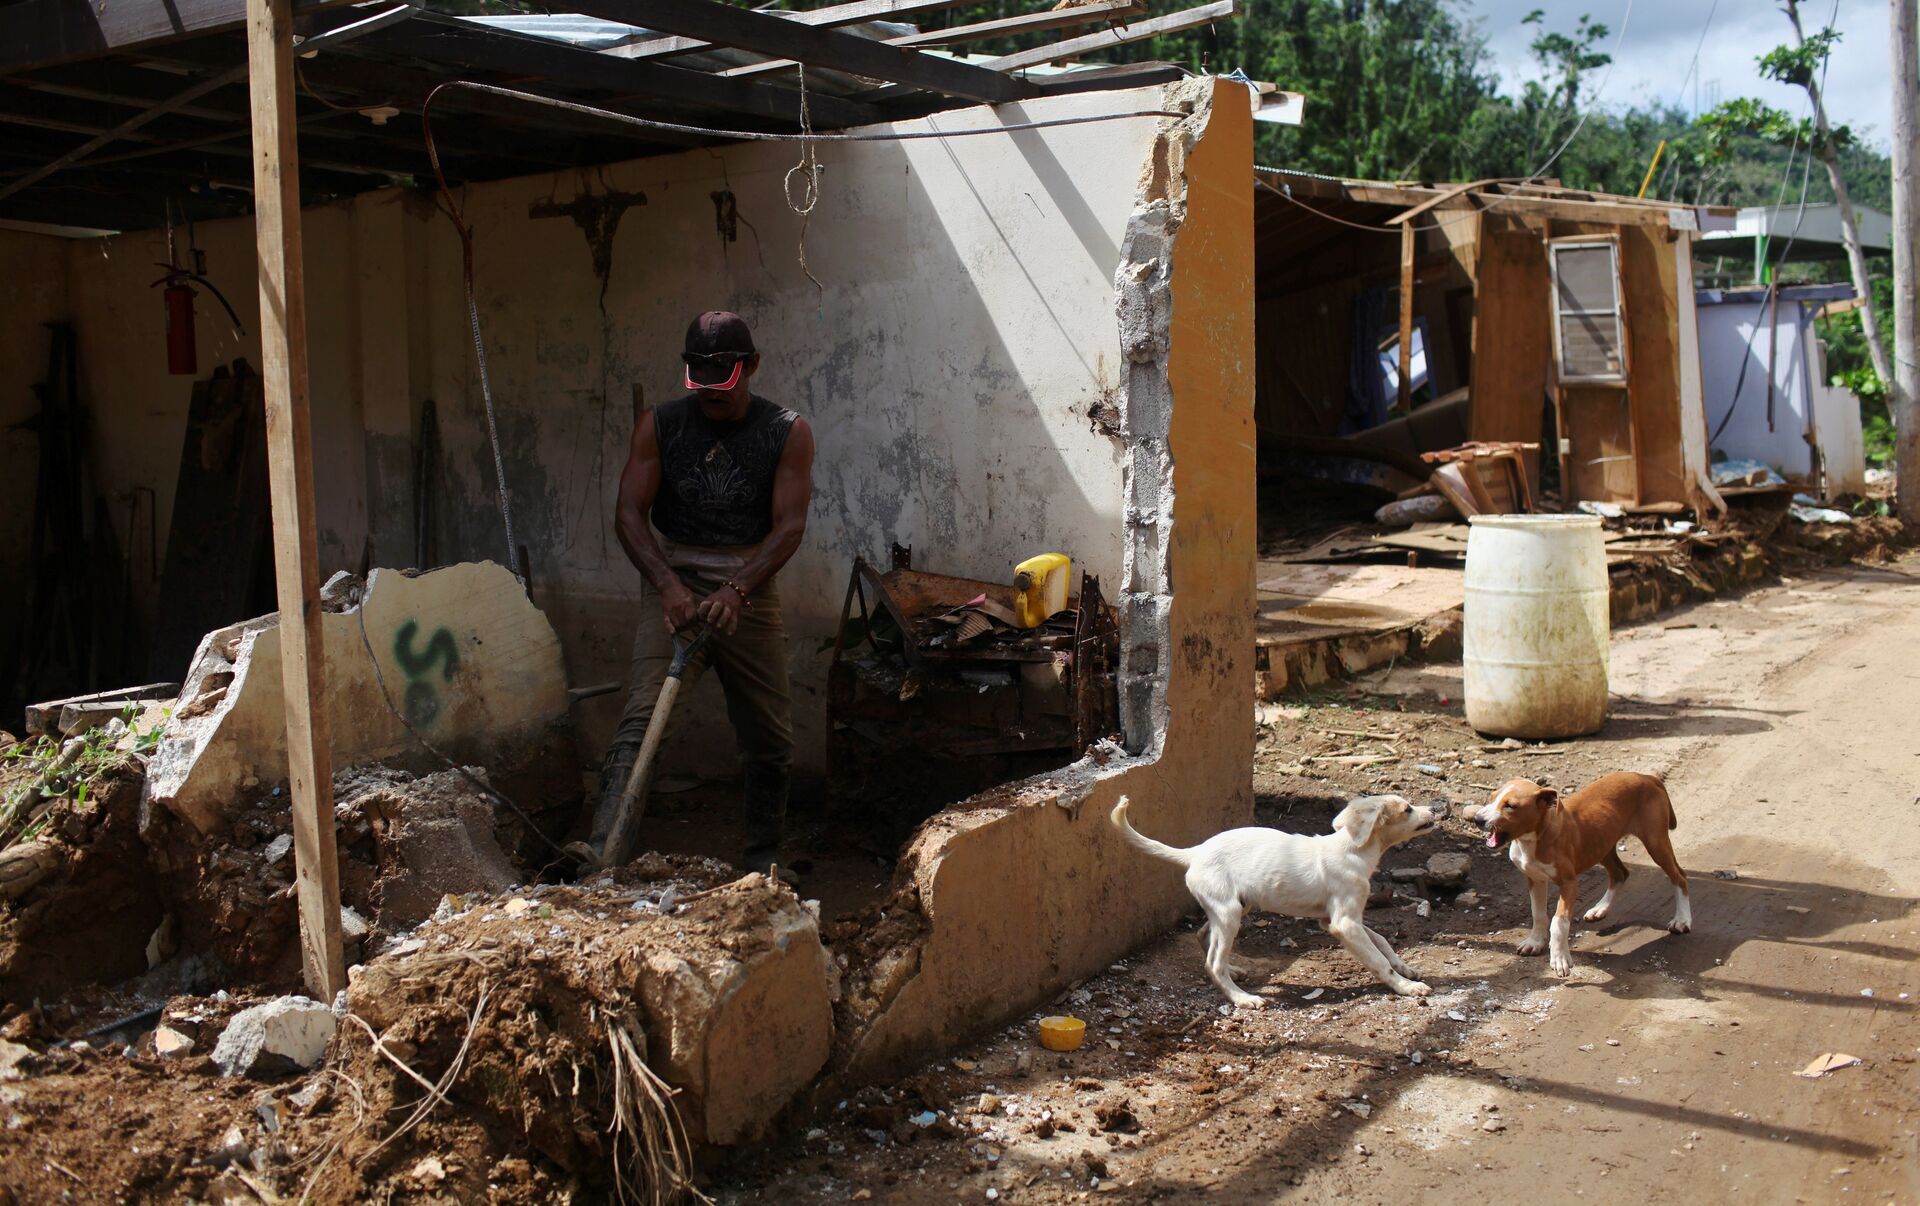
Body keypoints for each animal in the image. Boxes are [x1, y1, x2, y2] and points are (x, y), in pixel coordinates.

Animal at [1110, 794, 1447, 1008]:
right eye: (1407, 809)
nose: (1436, 809)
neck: (1353, 849)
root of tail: (1194, 853)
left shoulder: (1337, 919)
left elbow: (1382, 942)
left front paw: (1406, 968)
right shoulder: (1344, 924)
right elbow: (1377, 960)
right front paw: (1406, 987)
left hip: (1234, 907)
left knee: (1204, 936)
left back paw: (1234, 971)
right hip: (1229, 913)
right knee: (1212, 963)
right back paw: (1242, 998)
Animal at [1474, 773, 1690, 976]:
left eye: (1510, 806)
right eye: (1491, 797)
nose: (1477, 819)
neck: (1533, 839)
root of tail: (1647, 777)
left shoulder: (1569, 883)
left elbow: (1559, 921)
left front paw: (1559, 958)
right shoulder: (1535, 879)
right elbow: (1538, 914)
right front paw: (1534, 942)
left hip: (1655, 842)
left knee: (1679, 877)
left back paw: (1682, 920)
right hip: (1602, 844)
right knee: (1620, 873)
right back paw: (1599, 909)